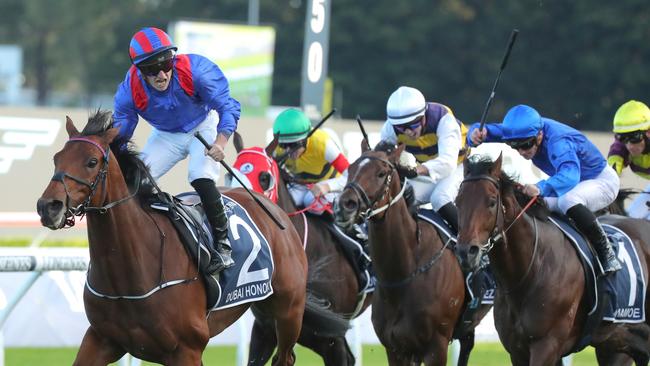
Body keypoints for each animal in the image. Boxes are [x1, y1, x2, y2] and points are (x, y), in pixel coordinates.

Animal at [35, 113, 308, 364]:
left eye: (92, 162)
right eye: (56, 158)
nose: (48, 207)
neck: (132, 270)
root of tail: (271, 207)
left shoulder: (187, 350)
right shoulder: (100, 339)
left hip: (289, 311)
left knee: (285, 355)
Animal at [332, 143, 488, 366]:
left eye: (381, 173)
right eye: (351, 169)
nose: (344, 206)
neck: (404, 272)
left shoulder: (436, 347)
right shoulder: (396, 349)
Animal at [454, 154, 648, 366]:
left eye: (491, 202)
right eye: (458, 201)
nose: (466, 252)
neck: (529, 271)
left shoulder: (546, 345)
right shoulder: (517, 350)